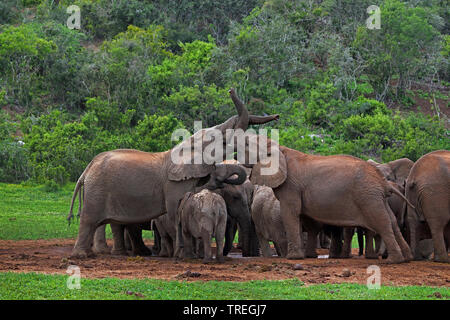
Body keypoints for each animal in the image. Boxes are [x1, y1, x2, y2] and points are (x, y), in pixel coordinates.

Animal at [66, 89, 278, 258]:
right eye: (223, 142)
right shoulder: (173, 184)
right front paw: (182, 255)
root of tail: (87, 169)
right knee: (89, 220)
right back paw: (82, 256)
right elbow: (175, 210)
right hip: (97, 189)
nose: (230, 90)